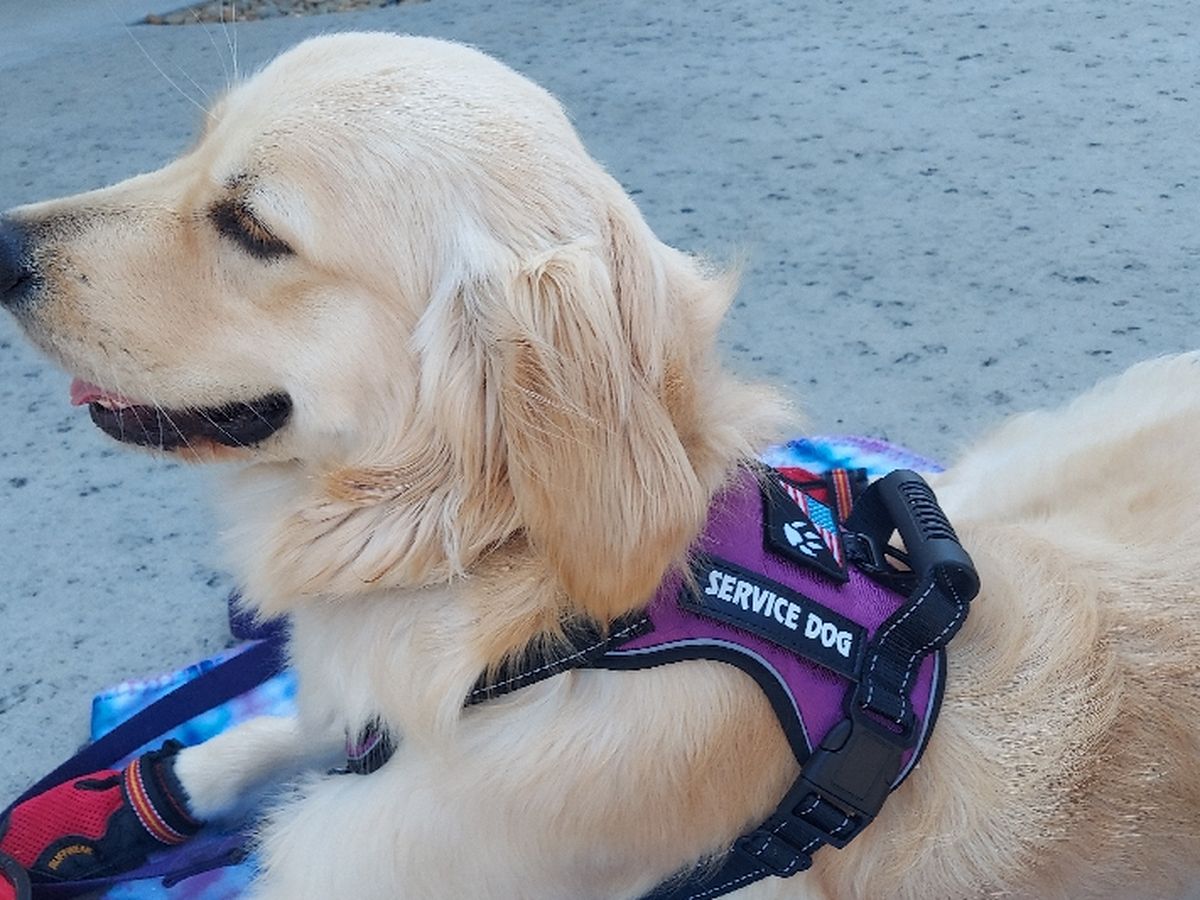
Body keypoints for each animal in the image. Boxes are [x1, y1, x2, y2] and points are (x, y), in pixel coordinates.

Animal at [1, 32, 1197, 899]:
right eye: (194, 149)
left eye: (251, 227)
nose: (4, 246)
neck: (551, 624)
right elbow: (253, 731)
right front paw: (96, 809)